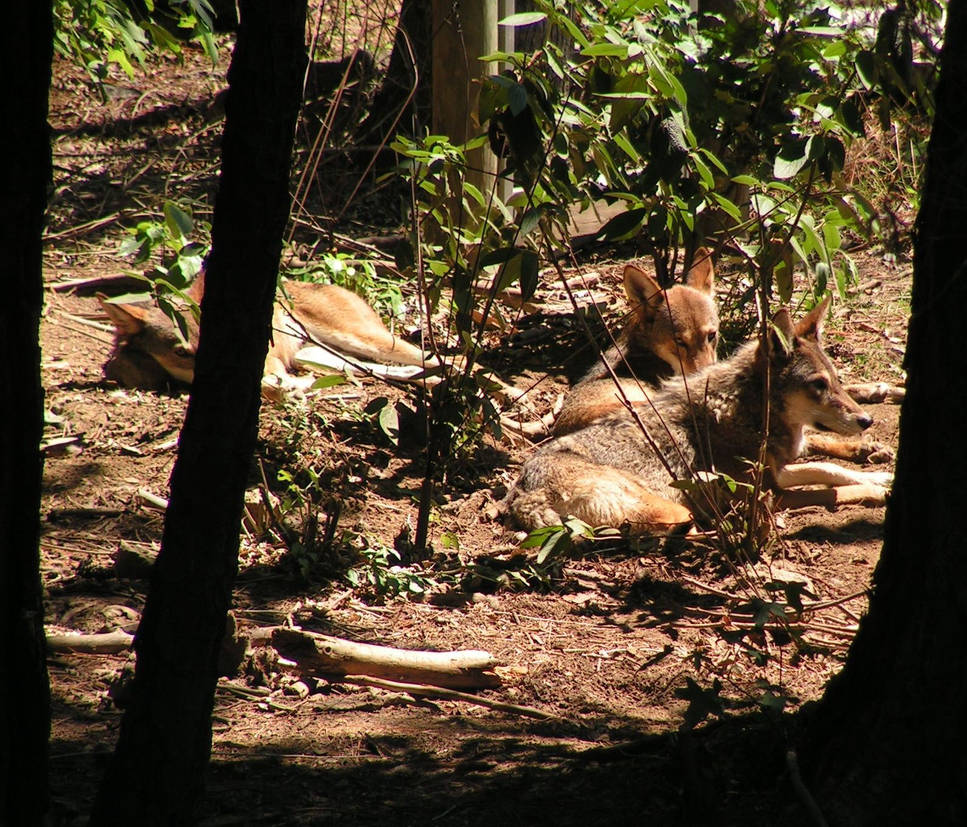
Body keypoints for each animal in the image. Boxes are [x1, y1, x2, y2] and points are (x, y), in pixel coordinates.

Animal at [504, 297, 891, 534]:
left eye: (837, 381)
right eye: (817, 385)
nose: (866, 421)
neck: (744, 412)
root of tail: (521, 493)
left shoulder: (775, 473)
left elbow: (830, 470)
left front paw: (880, 477)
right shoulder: (767, 494)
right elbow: (835, 492)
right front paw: (877, 491)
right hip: (673, 506)